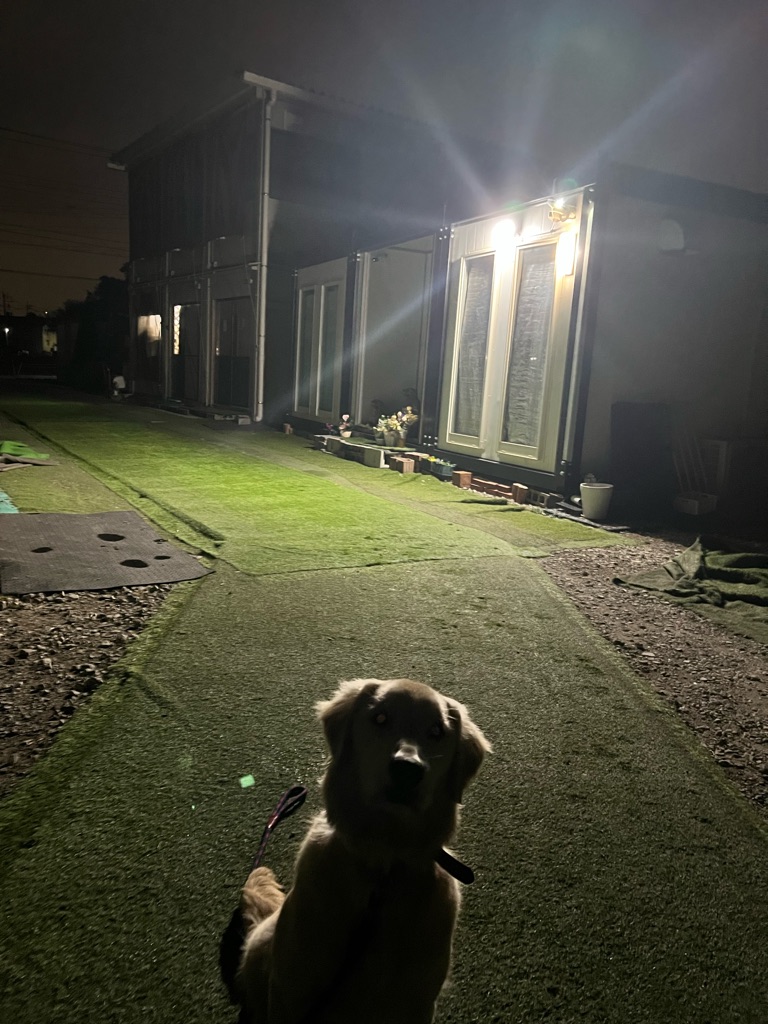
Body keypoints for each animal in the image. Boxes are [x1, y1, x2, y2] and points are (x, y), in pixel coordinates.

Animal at [231, 677, 490, 1023]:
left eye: (436, 731)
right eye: (379, 718)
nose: (407, 769)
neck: (383, 858)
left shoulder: (417, 1001)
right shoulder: (291, 988)